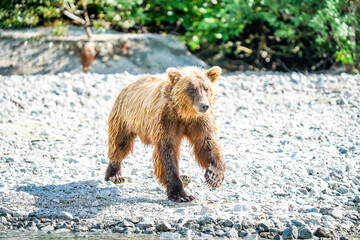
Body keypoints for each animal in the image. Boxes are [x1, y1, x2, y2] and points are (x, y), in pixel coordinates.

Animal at [105, 66, 226, 202]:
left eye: (206, 88)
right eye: (192, 89)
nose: (204, 105)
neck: (185, 114)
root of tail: (128, 86)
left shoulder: (200, 121)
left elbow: (207, 143)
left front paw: (214, 177)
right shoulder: (166, 119)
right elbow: (167, 152)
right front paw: (181, 195)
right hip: (125, 117)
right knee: (120, 144)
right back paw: (115, 175)